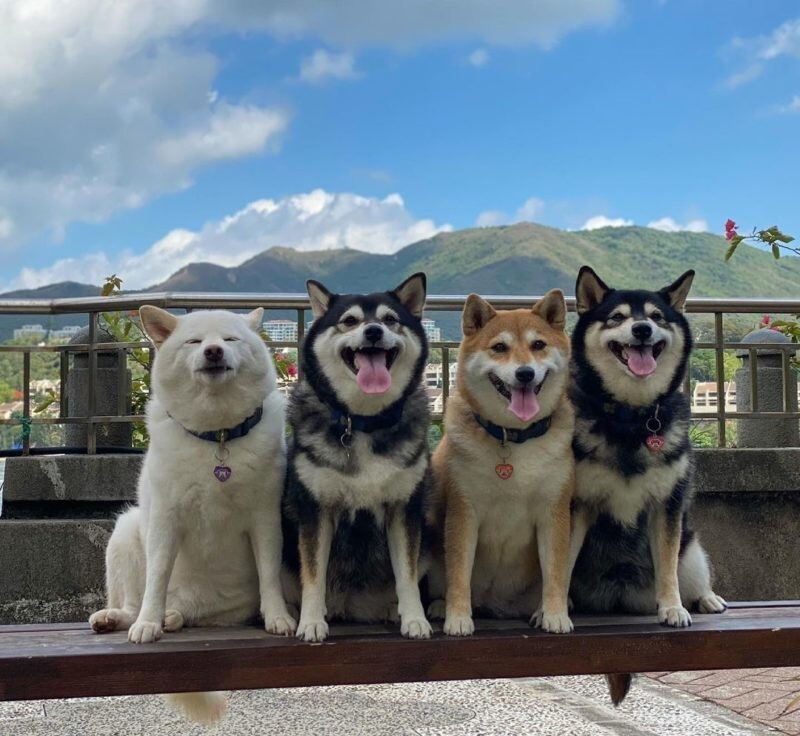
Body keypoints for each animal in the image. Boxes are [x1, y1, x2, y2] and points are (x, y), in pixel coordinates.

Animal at [90, 308, 296, 720]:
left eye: (230, 340)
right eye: (194, 342)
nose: (214, 351)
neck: (217, 436)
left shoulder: (265, 517)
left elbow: (269, 575)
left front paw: (278, 617)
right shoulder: (165, 519)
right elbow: (156, 577)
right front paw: (148, 625)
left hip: (225, 604)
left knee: (193, 613)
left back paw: (173, 618)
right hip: (125, 531)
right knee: (134, 602)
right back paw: (124, 618)